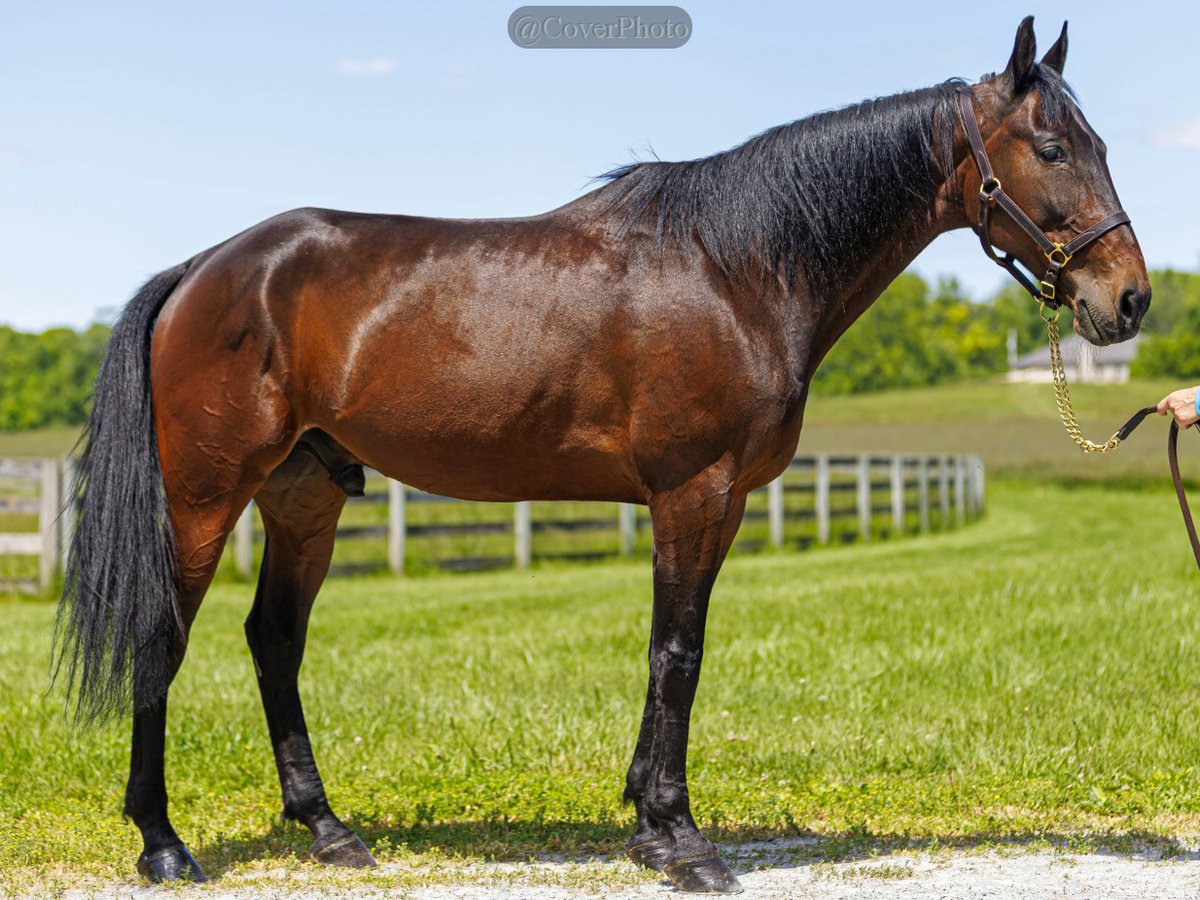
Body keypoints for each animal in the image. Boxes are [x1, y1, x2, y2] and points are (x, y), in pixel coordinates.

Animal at [55, 16, 1149, 893]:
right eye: (1052, 146)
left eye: (1097, 143)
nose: (1128, 299)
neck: (734, 264)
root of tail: (205, 268)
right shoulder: (691, 492)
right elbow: (679, 652)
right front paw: (680, 840)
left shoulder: (725, 502)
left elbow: (676, 650)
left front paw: (645, 821)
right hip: (205, 495)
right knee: (163, 637)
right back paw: (163, 846)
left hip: (305, 495)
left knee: (274, 640)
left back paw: (328, 829)